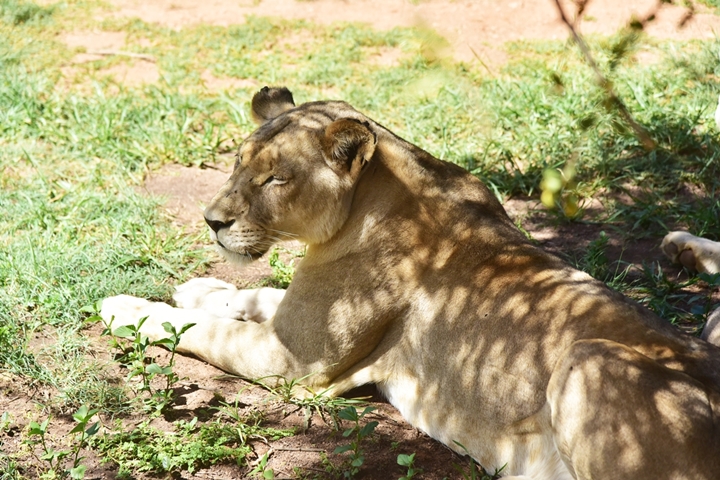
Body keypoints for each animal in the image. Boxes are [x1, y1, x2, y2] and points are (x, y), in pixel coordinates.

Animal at [102, 87, 720, 480]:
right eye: (236, 164)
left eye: (275, 178)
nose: (212, 221)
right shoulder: (297, 316)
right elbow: (251, 295)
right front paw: (202, 289)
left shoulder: (293, 363)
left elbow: (200, 330)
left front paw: (124, 307)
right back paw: (684, 248)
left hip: (587, 359)